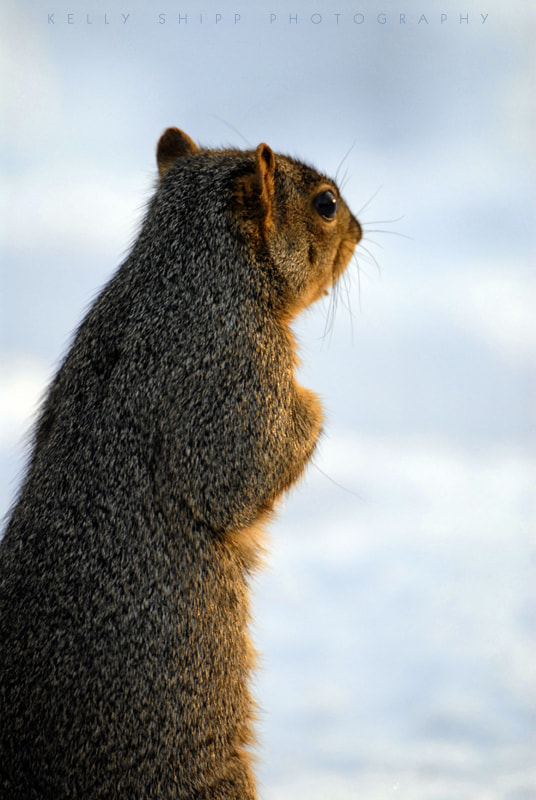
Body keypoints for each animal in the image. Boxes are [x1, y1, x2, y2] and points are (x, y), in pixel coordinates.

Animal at [0, 128, 360, 796]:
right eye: (325, 205)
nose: (360, 230)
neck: (187, 273)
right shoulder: (229, 368)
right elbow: (238, 476)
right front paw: (312, 409)